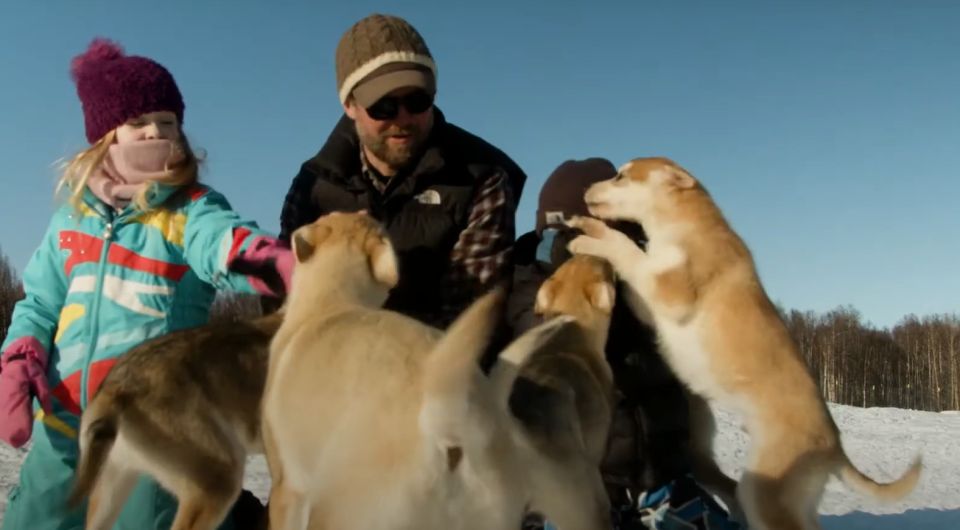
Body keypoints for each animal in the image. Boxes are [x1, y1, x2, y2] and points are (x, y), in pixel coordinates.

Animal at [568, 157, 924, 528]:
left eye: (621, 176)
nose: (586, 190)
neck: (685, 225)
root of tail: (834, 446)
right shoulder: (651, 307)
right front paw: (586, 228)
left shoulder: (670, 291)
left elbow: (626, 250)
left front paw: (590, 241)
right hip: (793, 496)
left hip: (764, 490)